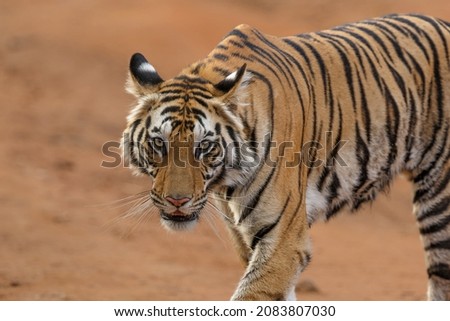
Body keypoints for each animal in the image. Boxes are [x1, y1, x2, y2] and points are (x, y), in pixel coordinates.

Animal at [120, 14, 450, 300]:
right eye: (159, 144)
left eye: (205, 147)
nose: (177, 201)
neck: (225, 181)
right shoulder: (246, 239)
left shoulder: (282, 239)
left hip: (440, 202)